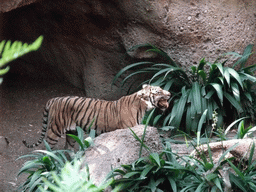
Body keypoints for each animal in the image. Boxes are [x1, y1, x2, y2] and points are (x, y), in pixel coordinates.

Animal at [22, 84, 170, 148]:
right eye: (158, 91)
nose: (169, 94)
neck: (142, 106)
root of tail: (53, 99)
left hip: (71, 132)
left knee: (68, 148)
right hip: (54, 130)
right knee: (46, 148)